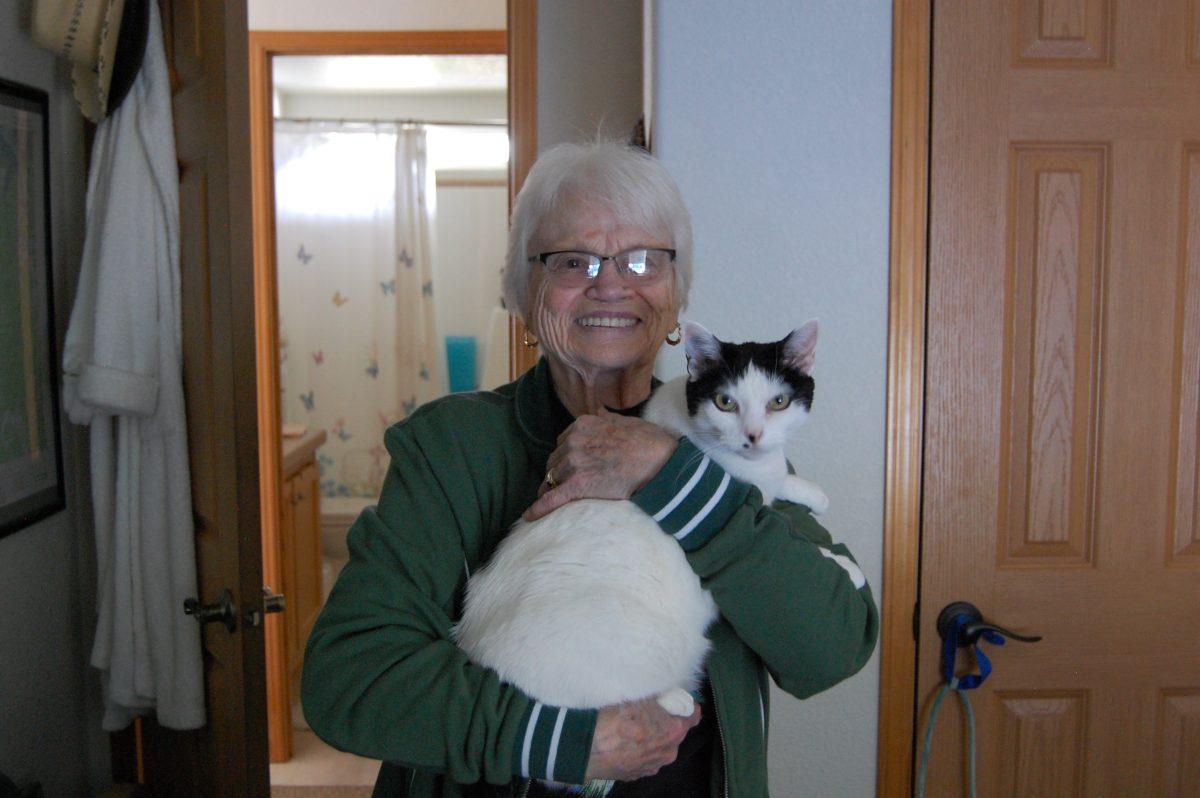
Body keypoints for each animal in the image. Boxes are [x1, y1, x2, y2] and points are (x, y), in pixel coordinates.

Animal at [451, 321, 825, 720]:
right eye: (726, 403)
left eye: (778, 402)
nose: (753, 436)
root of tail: (471, 641)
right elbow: (764, 494)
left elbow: (778, 475)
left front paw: (813, 494)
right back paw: (676, 698)